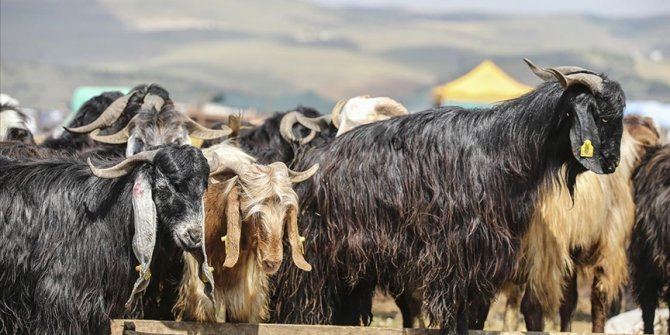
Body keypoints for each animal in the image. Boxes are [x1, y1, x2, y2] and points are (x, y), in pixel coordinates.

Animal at [270, 59, 628, 334]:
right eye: (603, 116)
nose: (612, 162)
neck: (502, 148)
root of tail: (306, 163)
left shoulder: (482, 257)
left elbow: (470, 312)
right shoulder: (452, 253)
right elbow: (450, 307)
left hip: (352, 267)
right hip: (314, 257)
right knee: (306, 304)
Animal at [504, 115, 660, 334]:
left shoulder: (572, 249)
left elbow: (569, 301)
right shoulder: (610, 243)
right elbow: (600, 298)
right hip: (543, 248)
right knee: (532, 304)